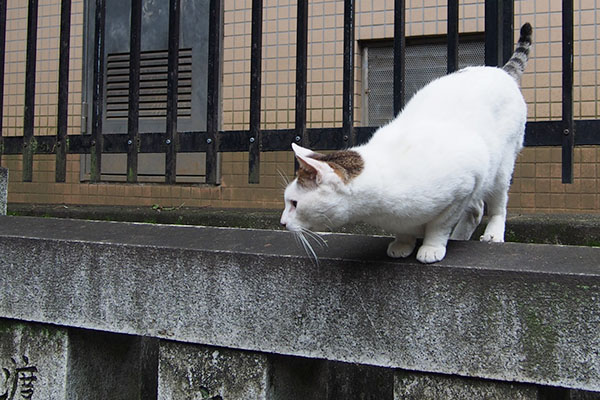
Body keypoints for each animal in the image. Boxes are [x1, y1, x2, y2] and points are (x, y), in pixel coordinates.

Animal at [278, 23, 532, 264]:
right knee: (477, 209)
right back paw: (459, 237)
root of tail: (500, 71)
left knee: (498, 205)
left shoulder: (465, 185)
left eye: (294, 203)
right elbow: (405, 232)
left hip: (500, 169)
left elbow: (439, 226)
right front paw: (402, 244)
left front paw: (431, 247)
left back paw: (492, 234)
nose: (281, 223)